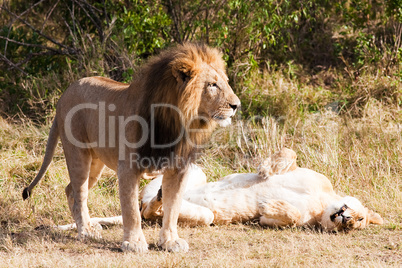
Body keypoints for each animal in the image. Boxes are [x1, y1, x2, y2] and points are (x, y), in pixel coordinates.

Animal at [22, 43, 239, 252]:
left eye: (226, 82)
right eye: (212, 85)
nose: (236, 105)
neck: (176, 120)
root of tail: (64, 95)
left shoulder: (178, 169)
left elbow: (173, 207)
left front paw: (170, 241)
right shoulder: (128, 168)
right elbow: (131, 210)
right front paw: (134, 243)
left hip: (96, 163)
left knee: (70, 190)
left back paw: (87, 226)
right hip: (78, 156)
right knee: (79, 193)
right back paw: (85, 231)